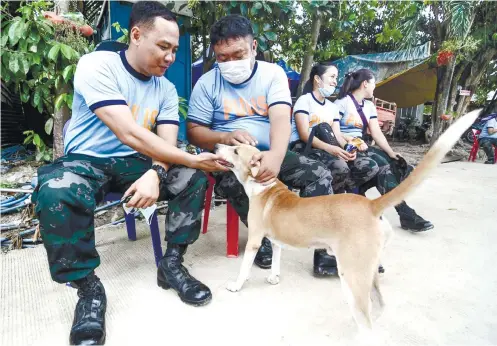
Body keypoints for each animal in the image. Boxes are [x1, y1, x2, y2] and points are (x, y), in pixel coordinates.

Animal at [214, 109, 480, 338]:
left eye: (235, 150)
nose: (216, 145)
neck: (263, 185)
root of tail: (371, 205)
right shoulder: (276, 240)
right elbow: (276, 261)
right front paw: (273, 278)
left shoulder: (255, 239)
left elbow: (244, 268)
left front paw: (236, 286)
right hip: (367, 271)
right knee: (379, 305)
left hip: (352, 272)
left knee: (367, 318)